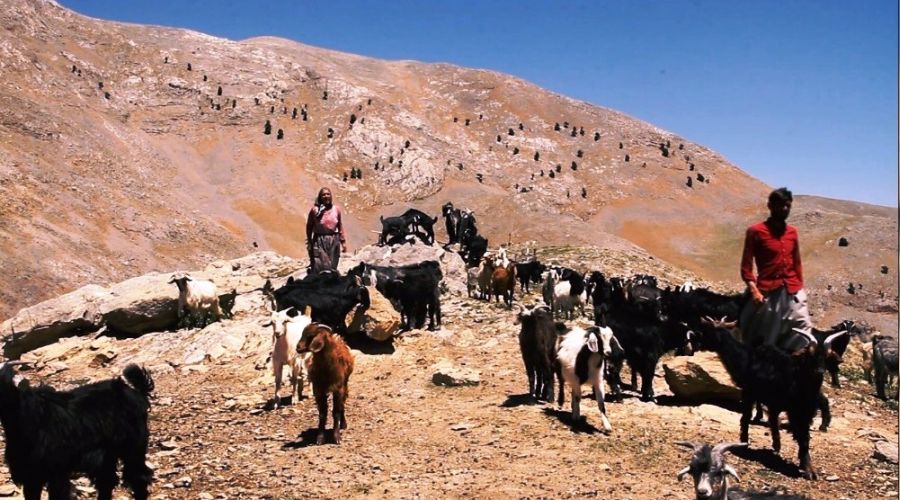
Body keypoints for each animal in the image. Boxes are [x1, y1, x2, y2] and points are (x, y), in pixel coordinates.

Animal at [0, 364, 154, 500]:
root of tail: (137, 392)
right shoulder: (31, 476)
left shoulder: (56, 471)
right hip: (109, 455)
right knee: (107, 482)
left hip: (134, 447)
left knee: (138, 478)